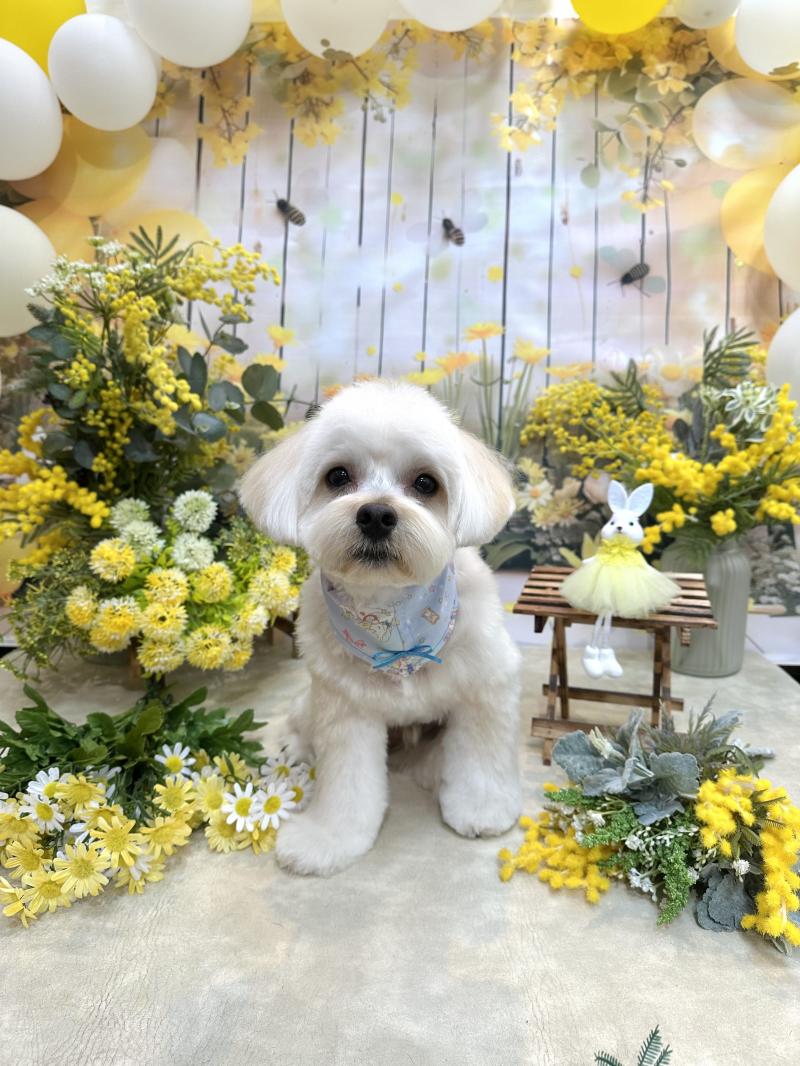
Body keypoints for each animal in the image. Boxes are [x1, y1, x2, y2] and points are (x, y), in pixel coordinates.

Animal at [239, 380, 522, 875]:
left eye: (426, 483)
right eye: (337, 477)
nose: (375, 514)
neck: (396, 623)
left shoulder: (486, 687)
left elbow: (481, 757)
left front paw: (481, 810)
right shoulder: (345, 710)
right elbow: (347, 785)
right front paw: (329, 839)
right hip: (313, 702)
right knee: (299, 722)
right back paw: (292, 745)